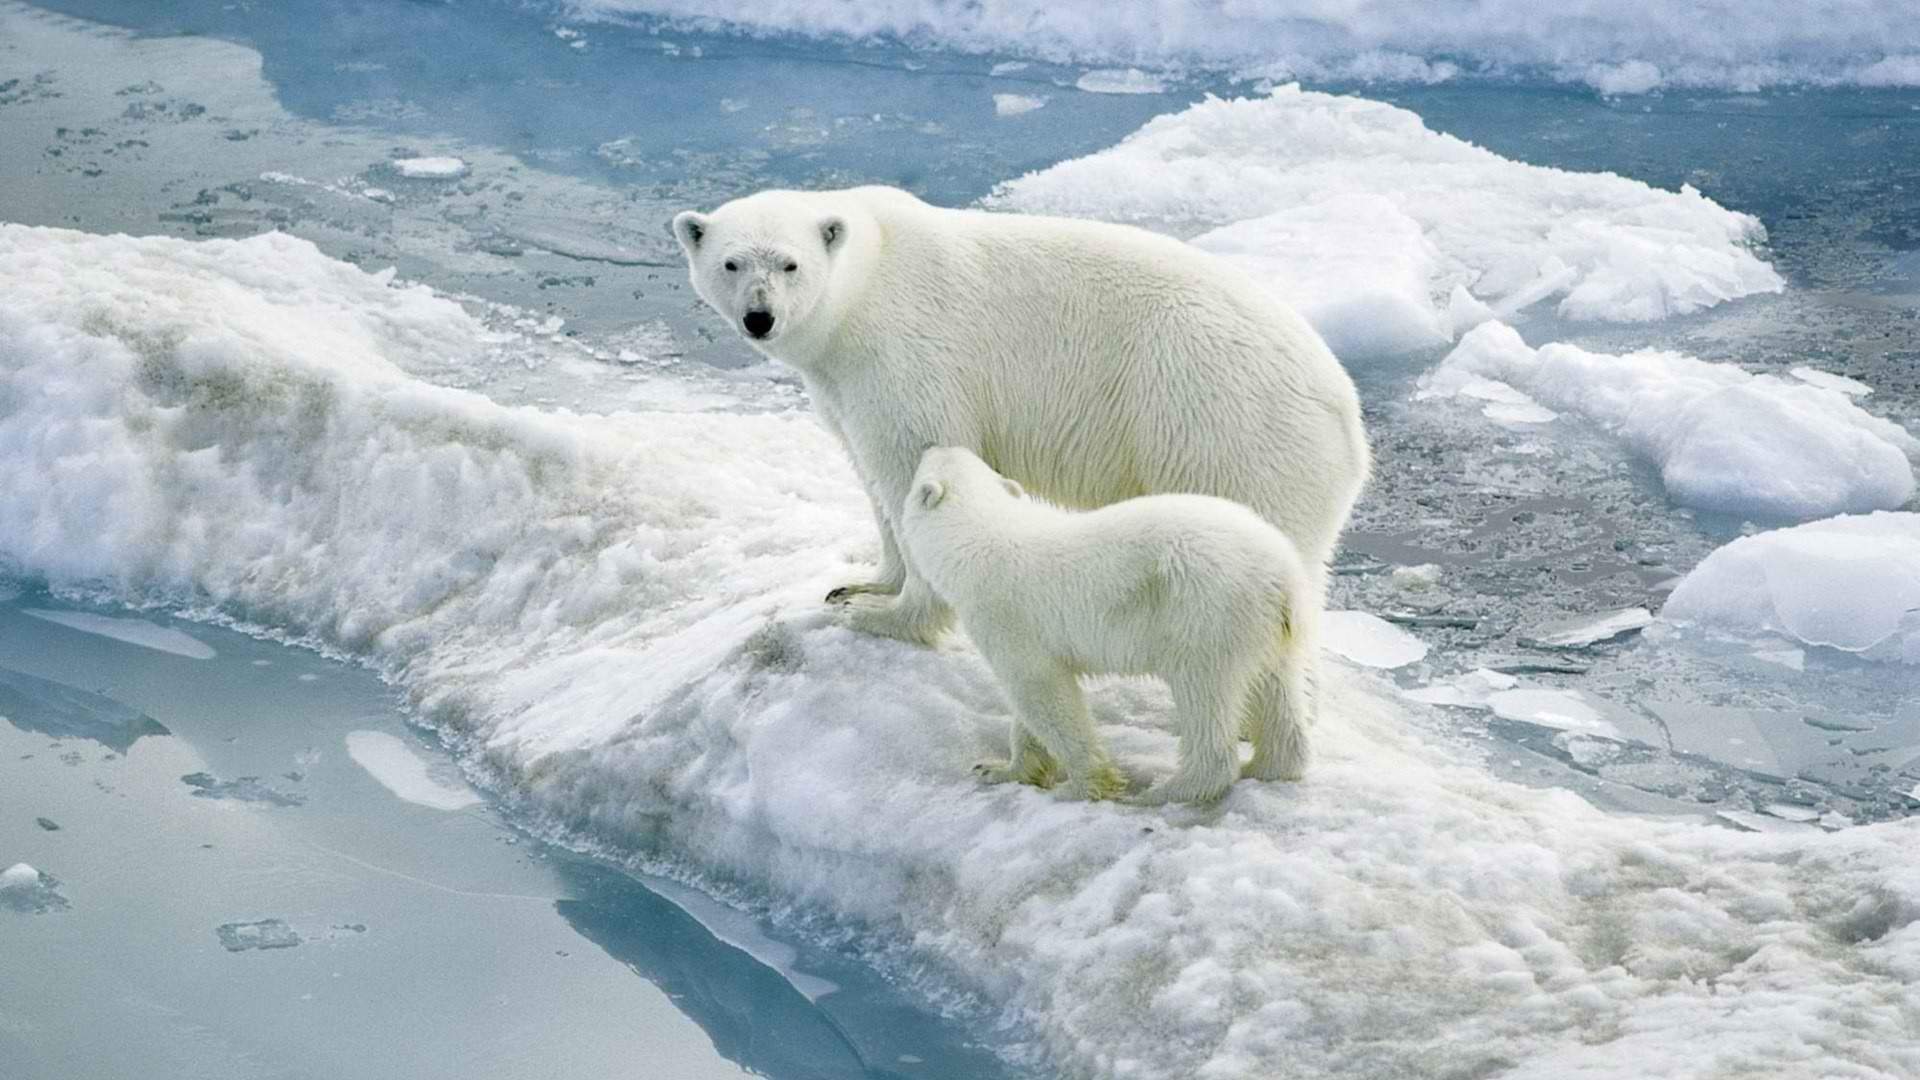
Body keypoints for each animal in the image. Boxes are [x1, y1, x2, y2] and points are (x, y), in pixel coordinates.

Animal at [900, 447, 1311, 804]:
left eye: (926, 463)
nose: (931, 444)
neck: (980, 538)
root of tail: (1282, 574)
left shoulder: (1006, 615)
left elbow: (1042, 692)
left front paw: (1084, 785)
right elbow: (1030, 707)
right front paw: (1000, 769)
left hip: (1205, 612)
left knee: (1203, 692)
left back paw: (1166, 791)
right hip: (1267, 628)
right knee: (1275, 689)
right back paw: (1267, 765)